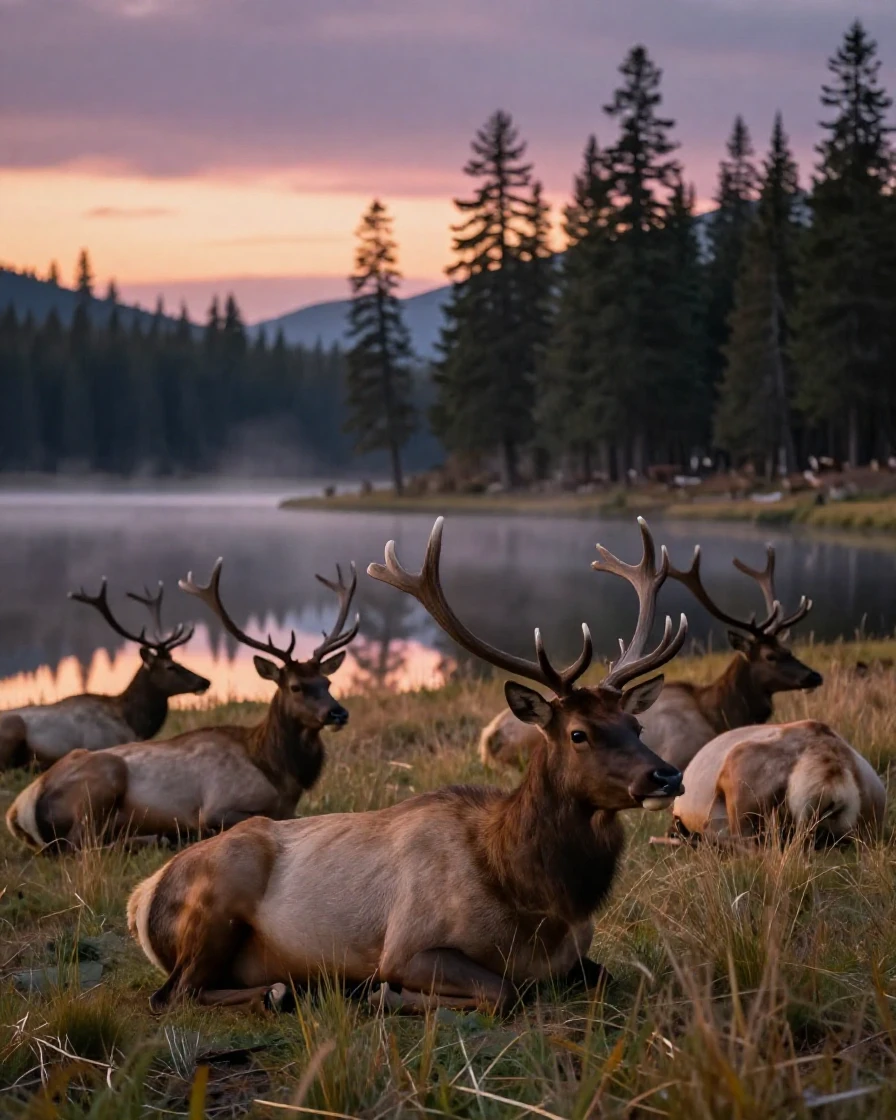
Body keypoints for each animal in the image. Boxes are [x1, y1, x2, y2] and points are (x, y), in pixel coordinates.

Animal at [0, 582, 210, 771]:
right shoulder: (104, 742)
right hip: (13, 726)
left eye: (178, 661)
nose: (205, 681)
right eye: (170, 667)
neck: (135, 723)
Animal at [126, 516, 687, 1015]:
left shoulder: (577, 955)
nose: (667, 774)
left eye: (636, 726)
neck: (535, 903)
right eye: (578, 733)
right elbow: (505, 991)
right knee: (171, 995)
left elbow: (606, 976)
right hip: (218, 898)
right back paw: (282, 992)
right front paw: (383, 995)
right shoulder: (406, 946)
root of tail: (142, 898)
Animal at [479, 542, 822, 774]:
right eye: (770, 655)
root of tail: (487, 738)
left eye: (789, 649)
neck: (720, 713)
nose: (814, 675)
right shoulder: (683, 753)